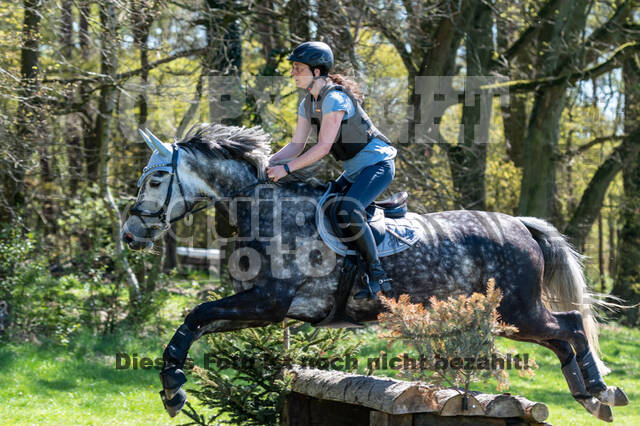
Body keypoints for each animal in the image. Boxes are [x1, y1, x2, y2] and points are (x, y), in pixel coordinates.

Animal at [122, 124, 628, 422]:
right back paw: (588, 396)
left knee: (570, 326)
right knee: (562, 337)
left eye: (155, 179)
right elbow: (196, 323)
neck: (269, 212)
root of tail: (519, 224)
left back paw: (601, 391)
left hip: (517, 311)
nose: (130, 234)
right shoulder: (266, 310)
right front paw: (173, 387)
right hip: (512, 316)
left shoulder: (268, 303)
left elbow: (196, 314)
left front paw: (172, 390)